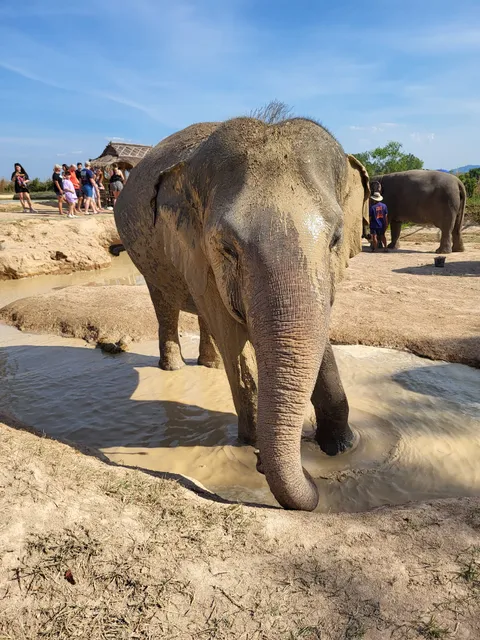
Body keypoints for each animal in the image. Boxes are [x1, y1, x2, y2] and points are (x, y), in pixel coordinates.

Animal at [115, 116, 370, 511]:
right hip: (146, 259)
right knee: (166, 304)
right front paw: (253, 447)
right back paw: (173, 368)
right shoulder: (198, 251)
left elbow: (317, 335)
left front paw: (342, 446)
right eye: (227, 248)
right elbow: (234, 338)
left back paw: (209, 365)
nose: (310, 470)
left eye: (336, 239)